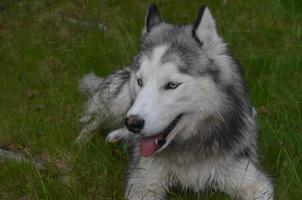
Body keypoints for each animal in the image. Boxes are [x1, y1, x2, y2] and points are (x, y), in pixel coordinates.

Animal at [77, 3, 274, 199]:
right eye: (140, 81)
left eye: (172, 85)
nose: (133, 123)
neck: (189, 146)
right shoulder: (143, 182)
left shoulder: (252, 181)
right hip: (118, 105)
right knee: (93, 120)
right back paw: (81, 142)